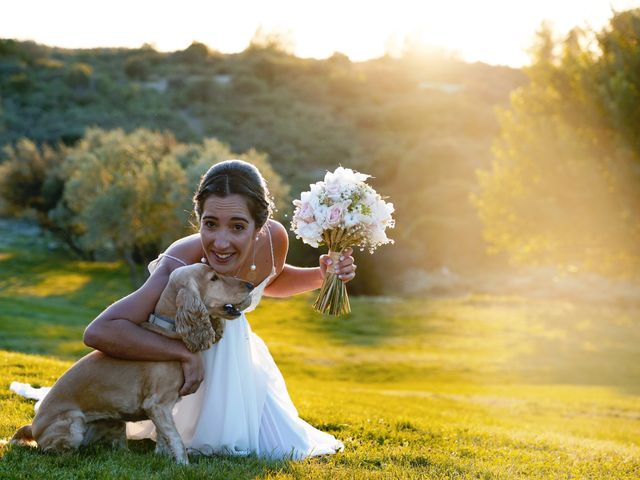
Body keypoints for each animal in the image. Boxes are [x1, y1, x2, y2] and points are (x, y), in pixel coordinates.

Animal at [10, 262, 252, 464]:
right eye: (214, 278)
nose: (250, 284)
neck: (170, 330)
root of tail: (33, 427)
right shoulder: (158, 404)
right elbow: (176, 438)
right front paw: (184, 465)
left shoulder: (163, 410)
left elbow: (164, 437)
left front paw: (163, 459)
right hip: (73, 424)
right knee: (53, 450)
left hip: (115, 421)